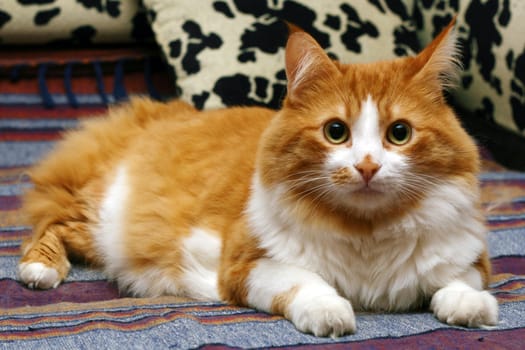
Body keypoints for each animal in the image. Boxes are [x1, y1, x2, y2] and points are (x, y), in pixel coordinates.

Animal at [18, 18, 498, 336]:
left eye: (399, 133)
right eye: (336, 132)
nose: (366, 167)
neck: (367, 232)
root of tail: (155, 111)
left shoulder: (470, 258)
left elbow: (459, 284)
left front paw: (472, 307)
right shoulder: (246, 264)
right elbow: (308, 283)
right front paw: (331, 314)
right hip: (100, 221)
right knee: (50, 225)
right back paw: (39, 270)